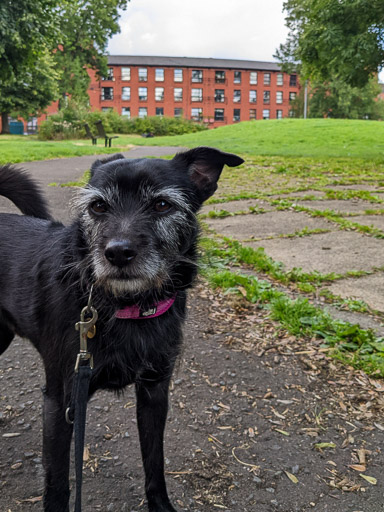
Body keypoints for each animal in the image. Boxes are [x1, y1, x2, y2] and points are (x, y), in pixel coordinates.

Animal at [0, 148, 243, 512]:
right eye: (98, 206)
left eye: (162, 205)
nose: (117, 253)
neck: (127, 306)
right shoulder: (61, 403)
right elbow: (57, 482)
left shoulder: (155, 393)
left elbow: (154, 463)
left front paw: (161, 505)